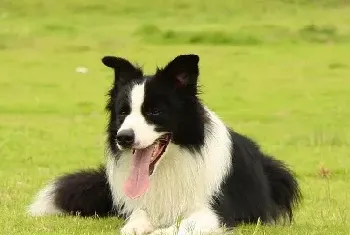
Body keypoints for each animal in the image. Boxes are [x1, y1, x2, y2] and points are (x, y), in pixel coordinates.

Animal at [28, 54, 300, 234]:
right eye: (123, 112)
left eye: (155, 112)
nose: (123, 137)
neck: (170, 165)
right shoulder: (142, 205)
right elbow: (135, 220)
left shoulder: (215, 213)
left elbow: (177, 228)